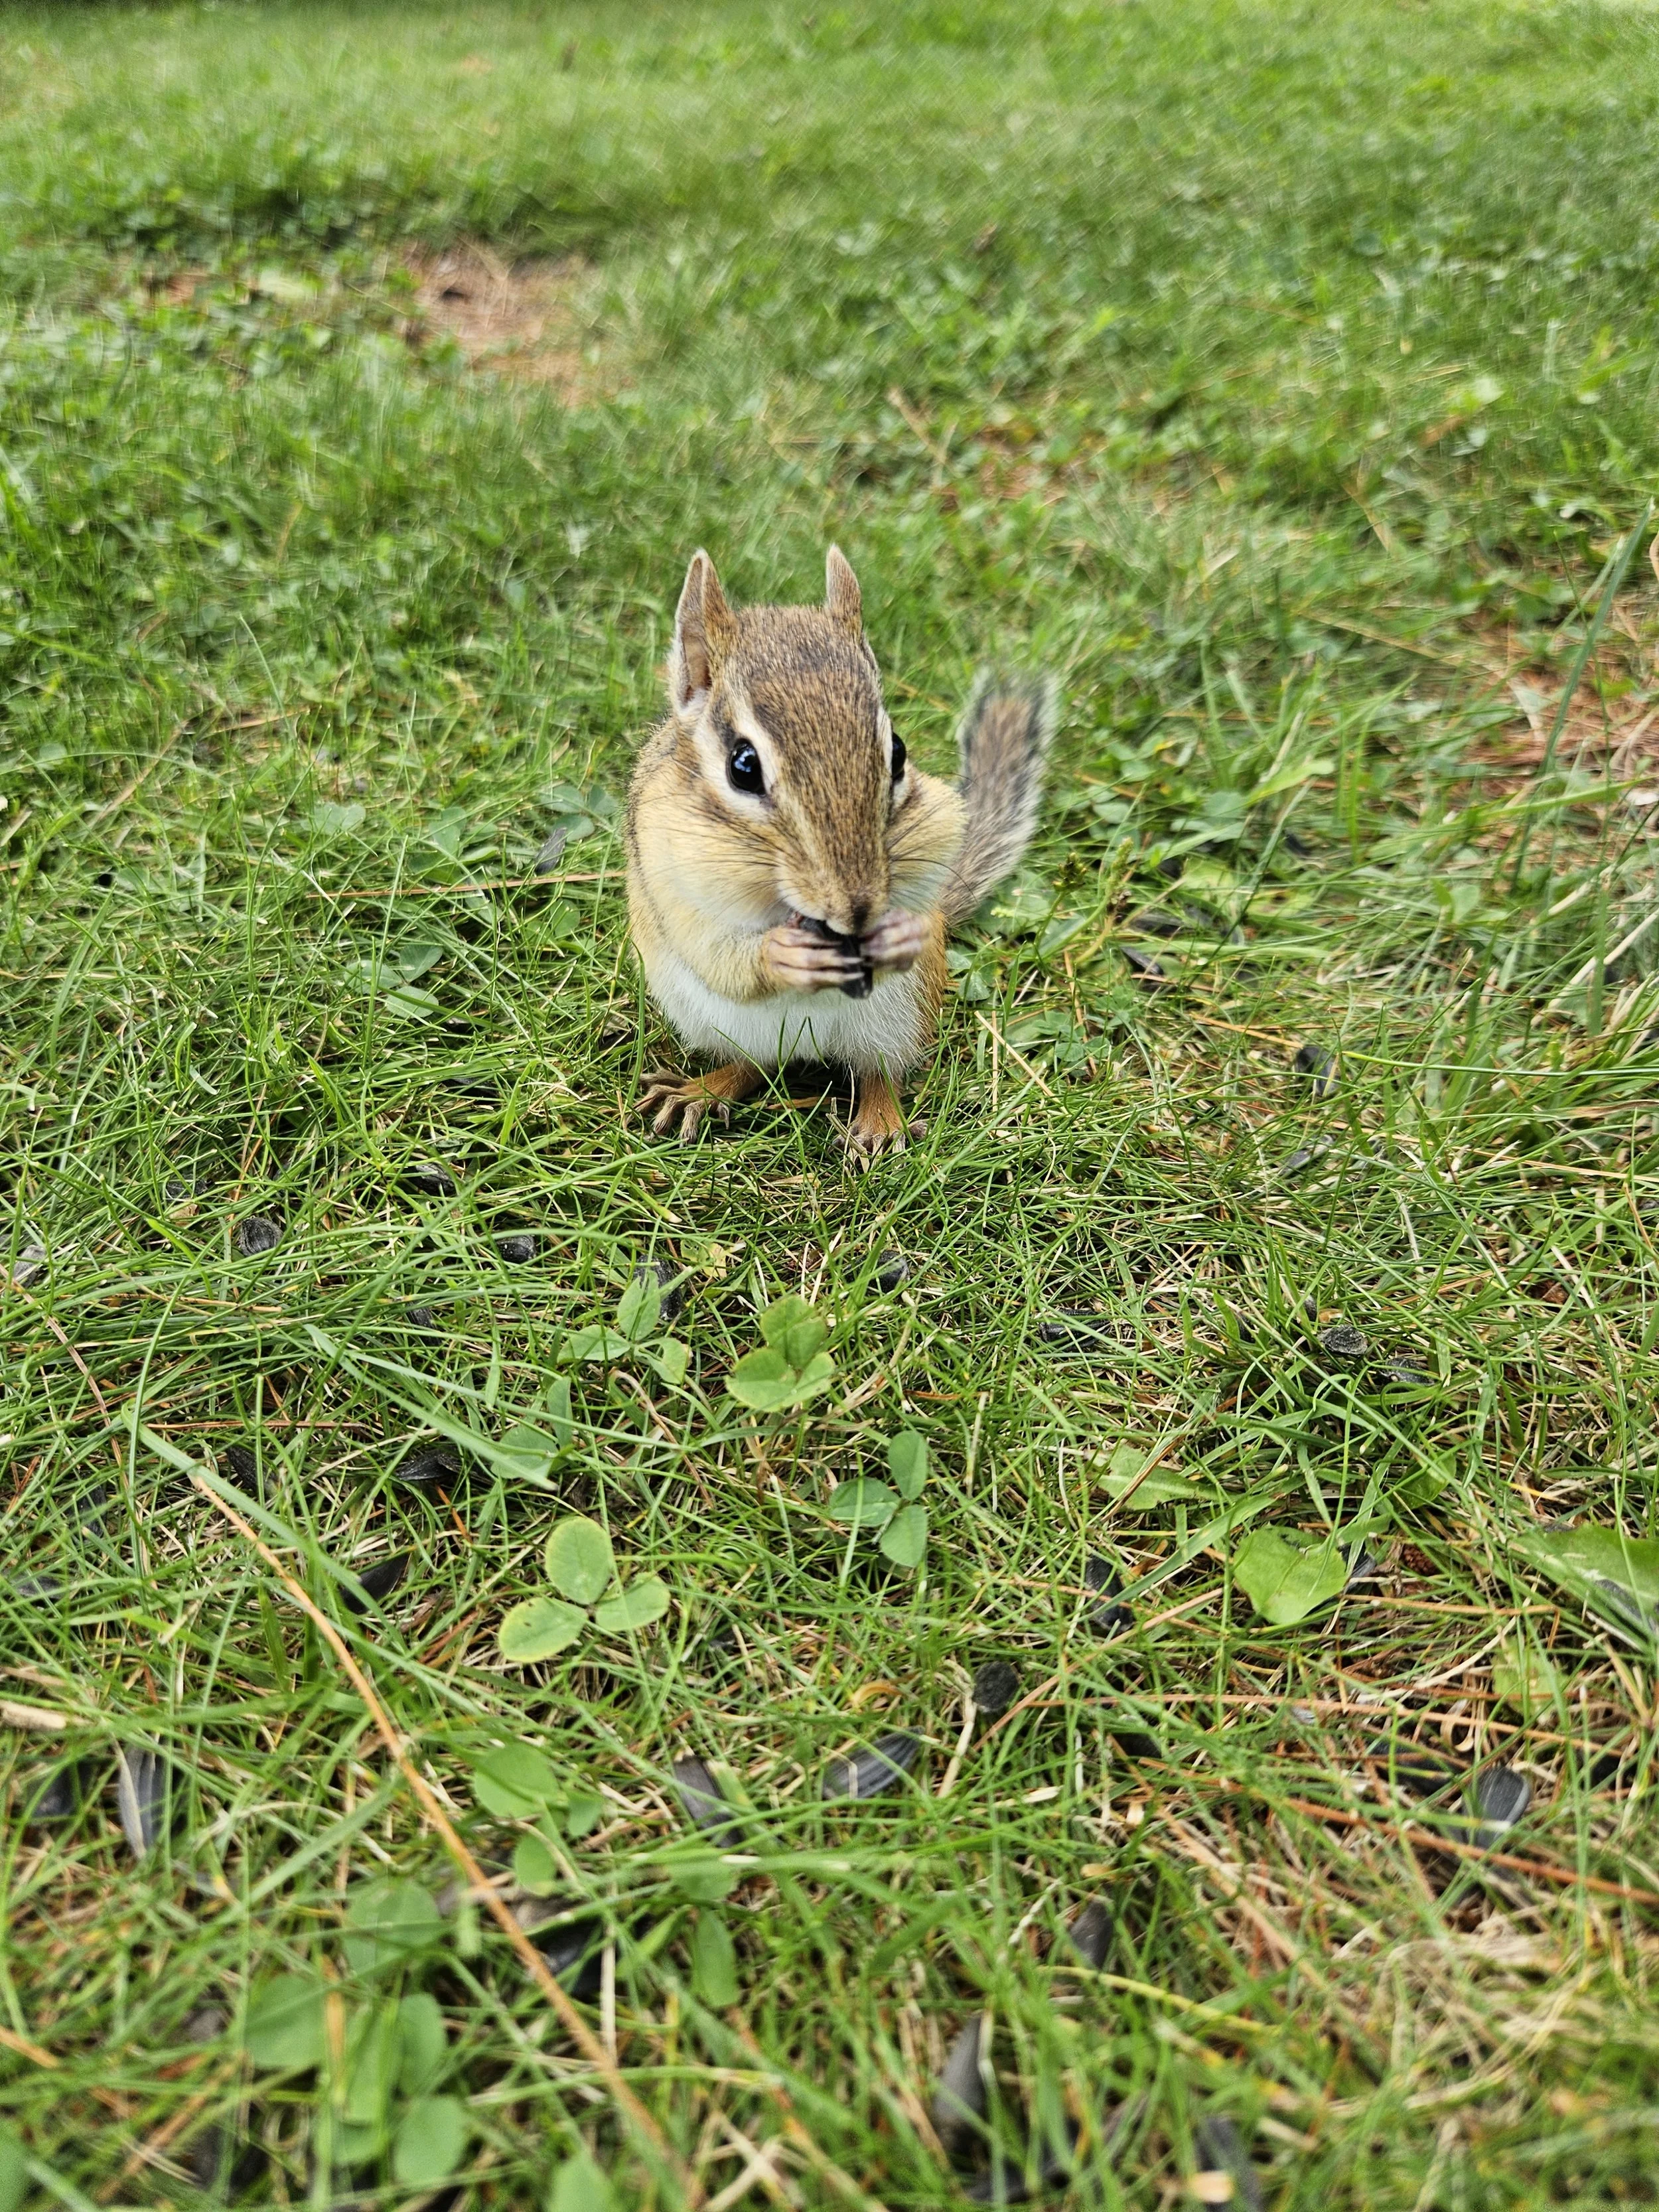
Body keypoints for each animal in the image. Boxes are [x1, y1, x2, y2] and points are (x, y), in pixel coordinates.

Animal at [625, 546, 1054, 1157]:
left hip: (897, 1017)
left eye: (897, 752)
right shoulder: (674, 878)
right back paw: (701, 1091)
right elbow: (717, 954)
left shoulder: (939, 820)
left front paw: (903, 933)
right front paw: (780, 956)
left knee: (879, 1073)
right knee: (753, 1066)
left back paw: (879, 1125)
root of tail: (808, 1045)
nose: (857, 908)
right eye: (743, 765)